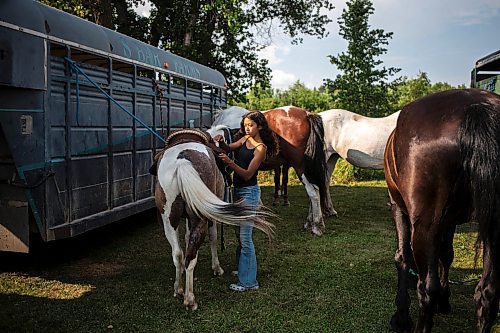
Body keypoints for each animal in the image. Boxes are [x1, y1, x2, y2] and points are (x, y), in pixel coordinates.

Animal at [152, 129, 274, 308]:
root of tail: (181, 161)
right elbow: (214, 237)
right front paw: (217, 268)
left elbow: (187, 237)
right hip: (200, 217)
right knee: (190, 256)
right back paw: (190, 299)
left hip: (168, 219)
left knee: (179, 254)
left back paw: (179, 289)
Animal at [384, 89, 500, 332]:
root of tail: (476, 107)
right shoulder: (449, 221)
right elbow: (446, 254)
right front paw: (445, 300)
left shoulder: (398, 207)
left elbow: (402, 257)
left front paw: (401, 317)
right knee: (488, 293)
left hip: (424, 226)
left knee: (427, 289)